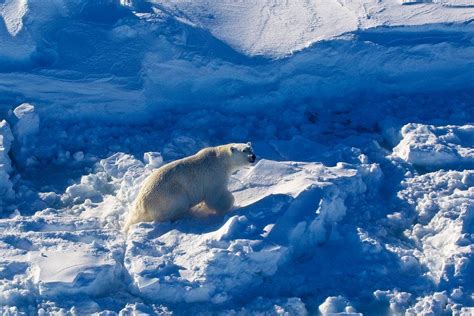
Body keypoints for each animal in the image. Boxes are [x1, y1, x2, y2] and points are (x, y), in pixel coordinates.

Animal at [122, 143, 256, 232]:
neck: (221, 159)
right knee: (178, 204)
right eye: (244, 150)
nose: (253, 157)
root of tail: (140, 205)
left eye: (251, 148)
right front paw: (230, 205)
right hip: (170, 196)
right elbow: (214, 197)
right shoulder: (214, 176)